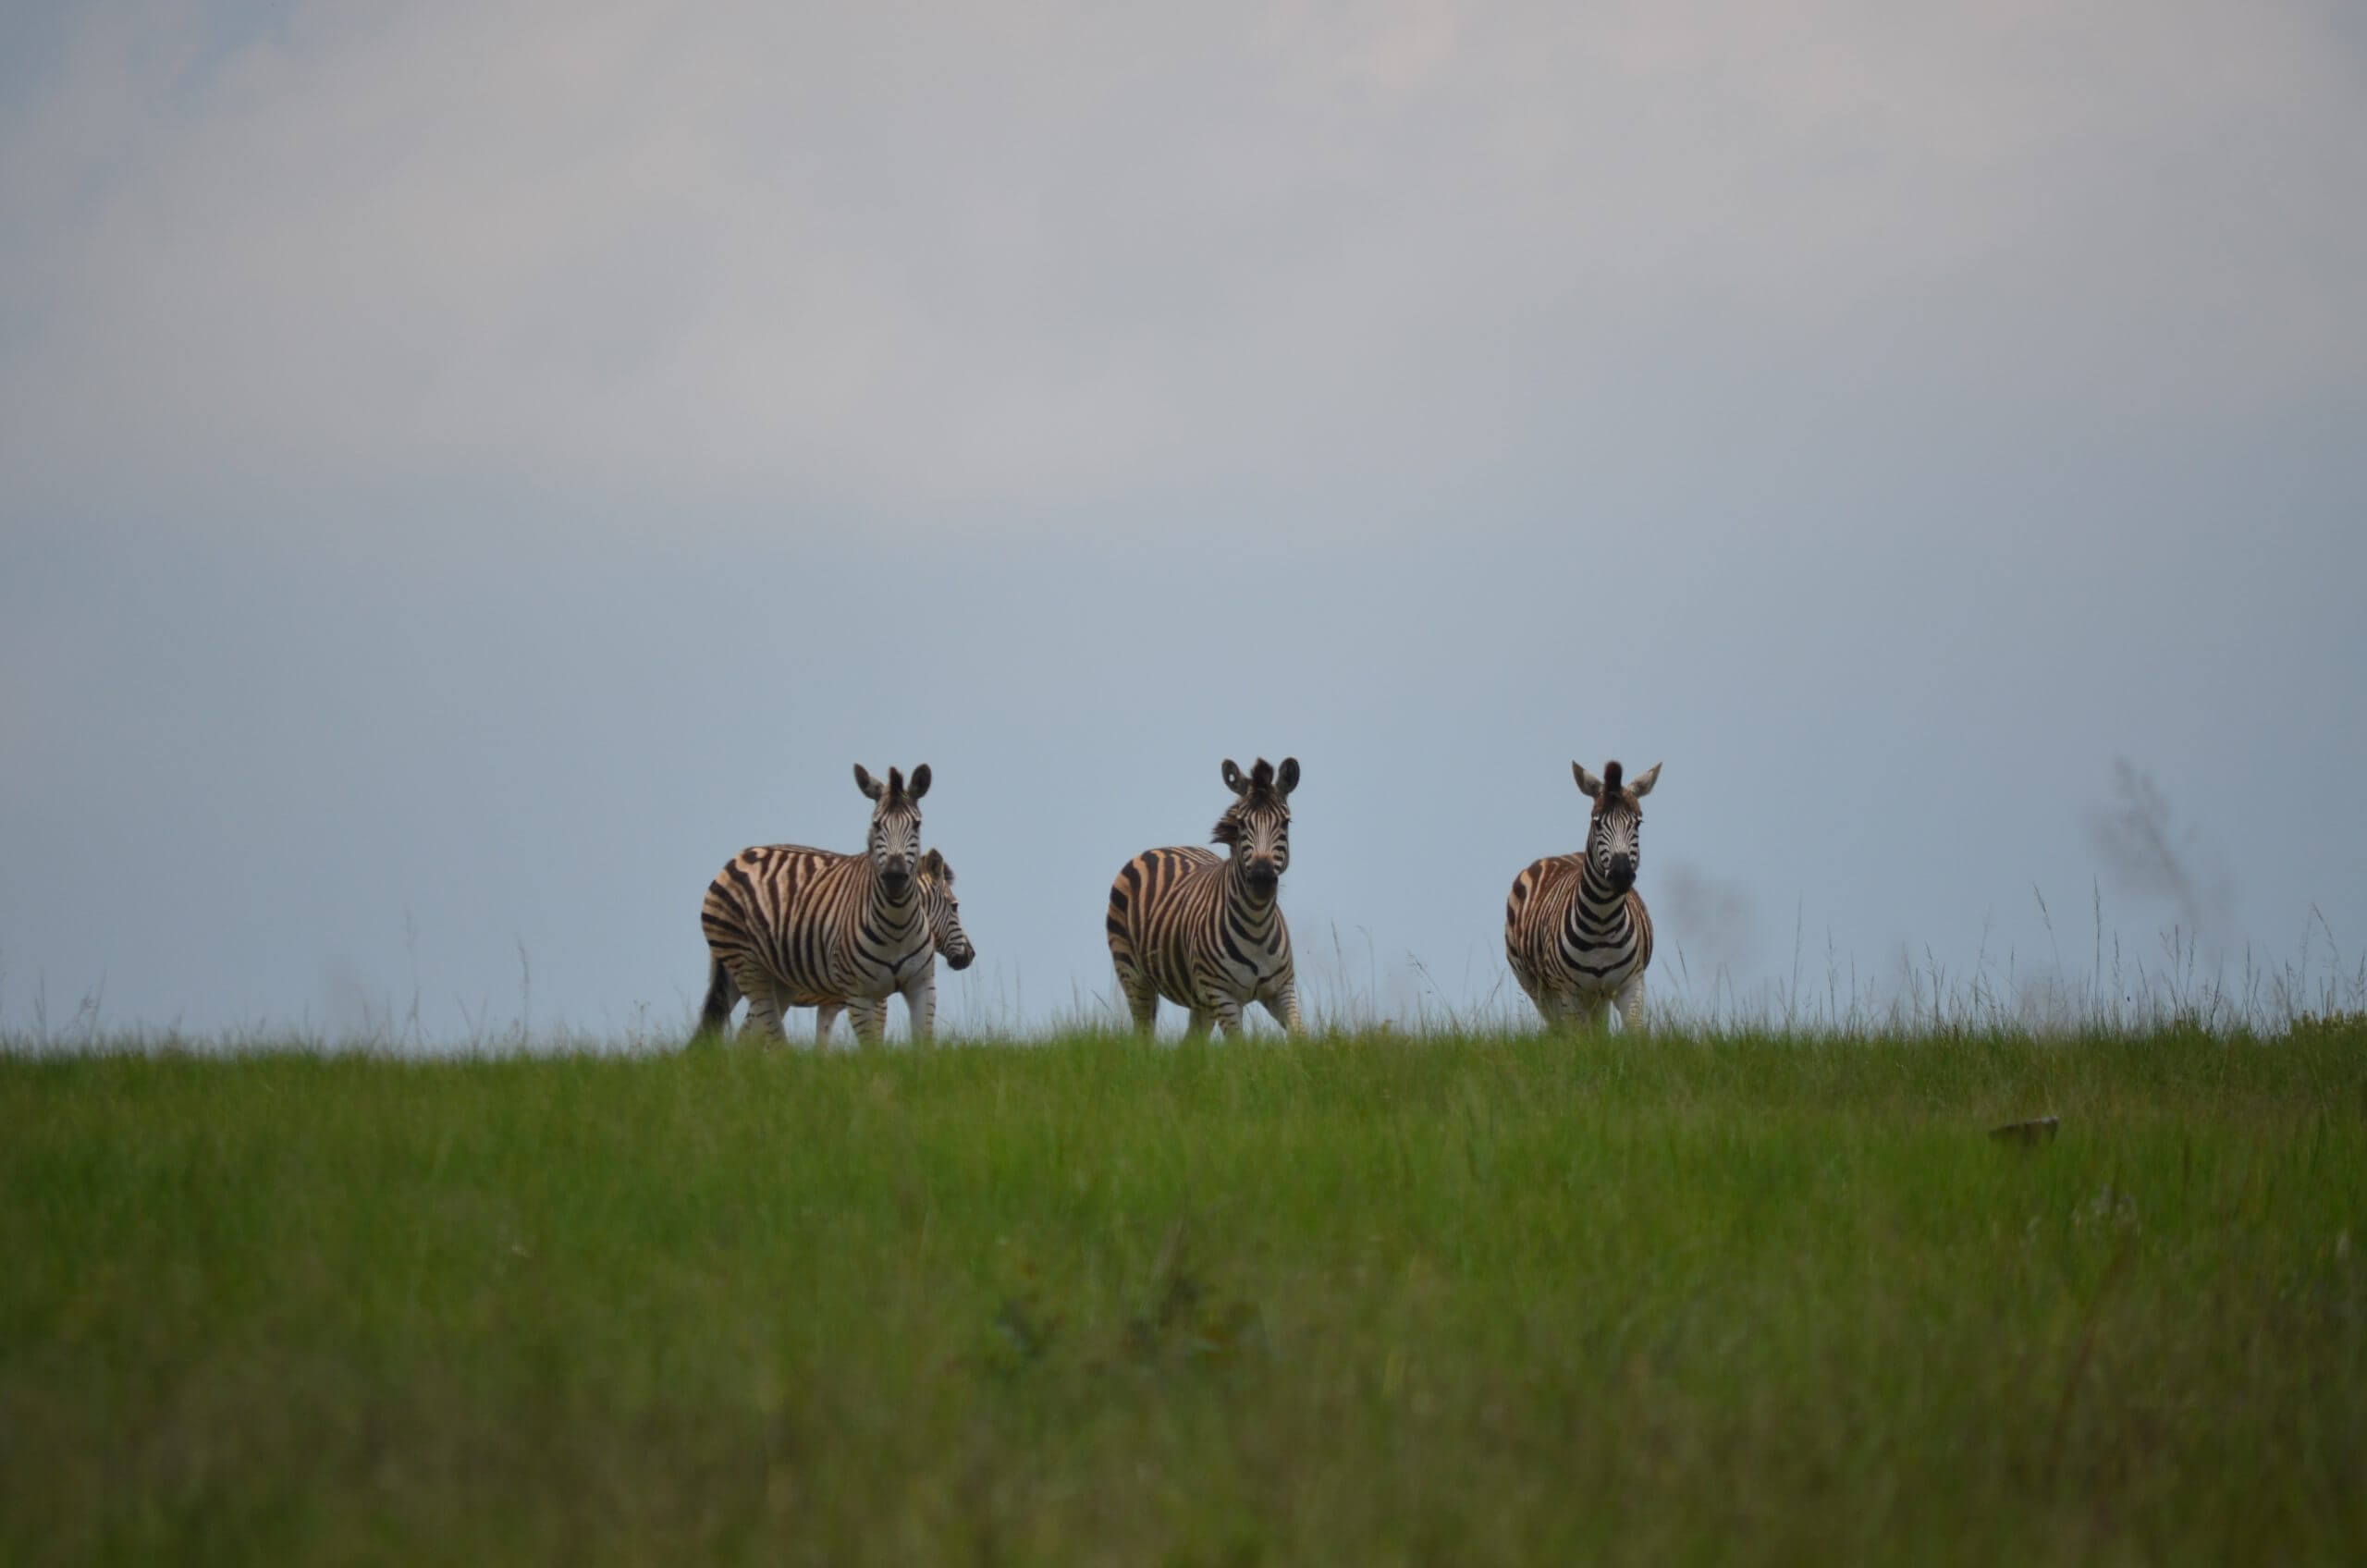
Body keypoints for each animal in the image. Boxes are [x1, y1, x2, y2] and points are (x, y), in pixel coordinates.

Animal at [696, 763, 960, 1045]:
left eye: (917, 824)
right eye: (876, 824)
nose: (895, 877)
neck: (898, 925)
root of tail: (739, 856)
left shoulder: (919, 986)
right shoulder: (862, 996)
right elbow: (870, 1046)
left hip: (771, 978)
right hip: (746, 965)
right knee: (766, 1035)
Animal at [1106, 756, 1303, 1040]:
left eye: (1285, 823)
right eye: (1241, 824)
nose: (1262, 878)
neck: (1257, 926)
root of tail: (1163, 848)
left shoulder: (1283, 989)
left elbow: (1301, 1037)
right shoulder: (1224, 997)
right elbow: (1240, 1045)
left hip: (1201, 1001)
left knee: (1190, 1044)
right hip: (1134, 975)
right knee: (1143, 1035)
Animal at [1505, 758, 1661, 1032]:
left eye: (1638, 823)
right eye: (1596, 822)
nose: (1621, 874)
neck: (1602, 922)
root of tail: (1558, 855)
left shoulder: (1632, 984)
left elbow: (1634, 1032)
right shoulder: (1568, 993)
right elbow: (1581, 1038)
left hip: (1598, 995)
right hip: (1536, 986)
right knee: (1559, 1027)